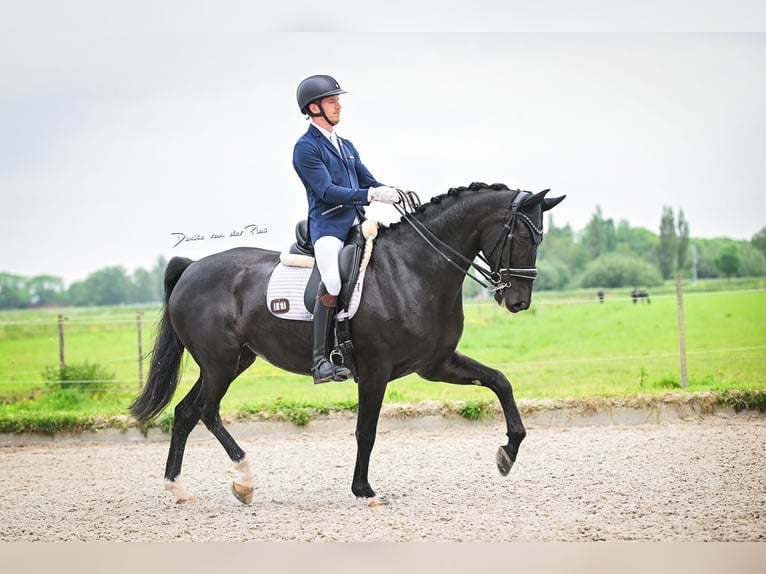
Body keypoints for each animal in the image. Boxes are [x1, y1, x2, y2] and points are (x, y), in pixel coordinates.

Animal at [130, 182, 564, 506]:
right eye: (522, 236)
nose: (518, 302)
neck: (413, 269)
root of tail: (192, 268)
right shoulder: (375, 370)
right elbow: (366, 430)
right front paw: (364, 490)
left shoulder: (436, 364)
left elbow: (500, 381)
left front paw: (507, 454)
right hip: (219, 364)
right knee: (206, 411)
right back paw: (244, 481)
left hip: (234, 361)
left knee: (186, 412)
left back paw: (178, 488)